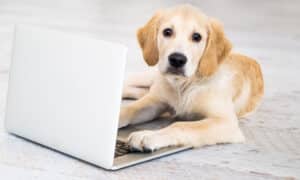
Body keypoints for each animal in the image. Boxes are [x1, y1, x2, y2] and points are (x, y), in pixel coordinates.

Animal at [118, 4, 264, 152]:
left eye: (196, 37)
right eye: (167, 32)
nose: (177, 59)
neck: (184, 85)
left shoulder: (226, 122)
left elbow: (180, 125)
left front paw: (148, 135)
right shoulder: (156, 102)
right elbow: (130, 109)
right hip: (153, 76)